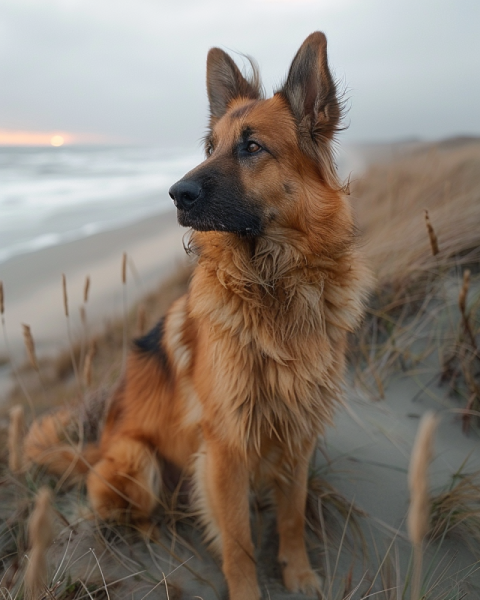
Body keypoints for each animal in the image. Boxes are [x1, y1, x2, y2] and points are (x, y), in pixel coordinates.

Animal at [24, 31, 372, 600]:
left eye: (251, 147)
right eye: (210, 148)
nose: (175, 195)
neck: (274, 287)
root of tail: (95, 451)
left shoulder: (297, 436)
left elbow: (292, 516)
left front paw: (299, 575)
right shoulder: (226, 449)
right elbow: (239, 543)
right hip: (138, 460)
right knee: (128, 509)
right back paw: (151, 531)